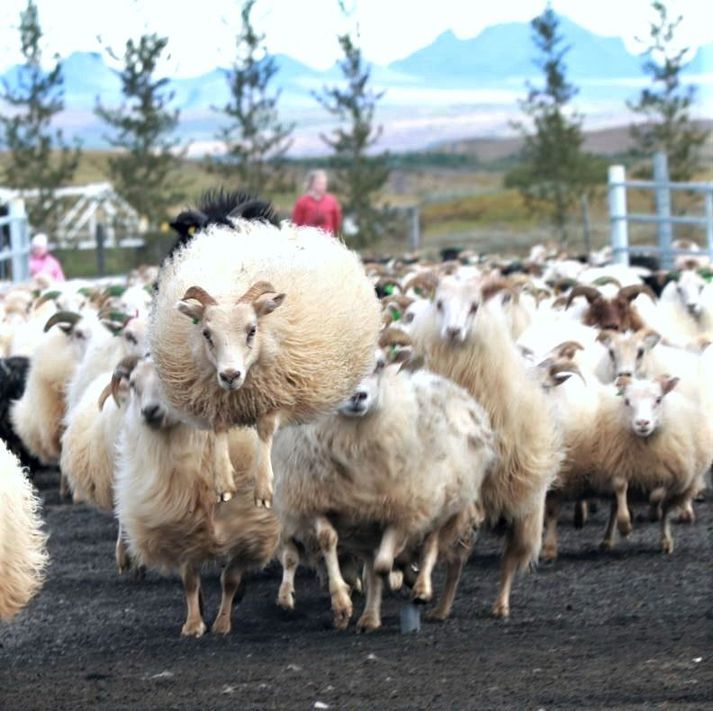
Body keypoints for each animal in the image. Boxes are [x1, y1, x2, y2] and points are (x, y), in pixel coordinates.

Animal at [114, 356, 278, 640]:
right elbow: (190, 580)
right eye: (133, 384)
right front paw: (193, 623)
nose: (149, 411)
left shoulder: (247, 523)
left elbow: (230, 579)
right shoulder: (182, 522)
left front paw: (222, 623)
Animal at [152, 209, 384, 508]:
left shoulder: (281, 395)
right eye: (206, 333)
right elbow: (218, 428)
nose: (230, 375)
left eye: (252, 330)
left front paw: (263, 490)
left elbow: (264, 431)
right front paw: (224, 484)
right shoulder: (212, 397)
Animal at [408, 272, 564, 616]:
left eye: (475, 306)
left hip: (524, 509)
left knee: (509, 560)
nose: (453, 331)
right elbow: (434, 540)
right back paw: (442, 608)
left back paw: (500, 605)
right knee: (458, 559)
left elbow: (435, 540)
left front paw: (421, 586)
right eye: (439, 303)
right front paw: (420, 583)